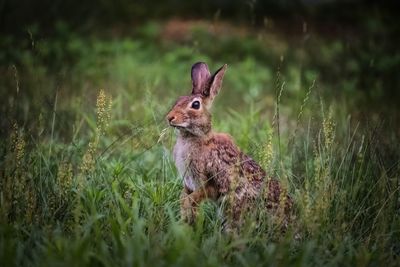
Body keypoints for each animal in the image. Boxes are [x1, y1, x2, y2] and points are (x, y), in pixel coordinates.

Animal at [166, 62, 294, 230]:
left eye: (195, 104)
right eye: (179, 99)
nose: (169, 118)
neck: (195, 137)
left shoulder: (210, 183)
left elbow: (196, 196)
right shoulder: (188, 183)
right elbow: (185, 196)